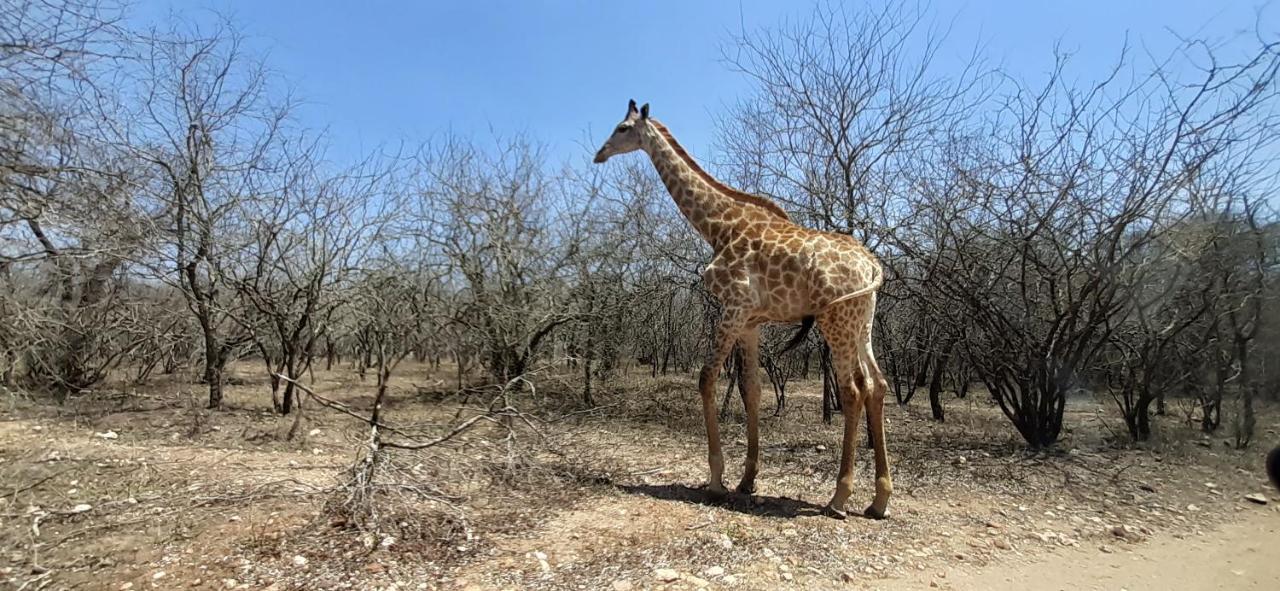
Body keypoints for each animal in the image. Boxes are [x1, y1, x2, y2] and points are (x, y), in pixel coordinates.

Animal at [596, 100, 890, 516]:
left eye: (622, 128)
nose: (599, 154)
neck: (718, 227)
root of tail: (871, 264)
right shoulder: (751, 321)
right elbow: (751, 389)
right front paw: (747, 479)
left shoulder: (732, 307)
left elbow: (706, 378)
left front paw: (717, 480)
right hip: (862, 322)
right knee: (877, 385)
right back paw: (879, 500)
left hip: (836, 321)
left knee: (851, 390)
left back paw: (839, 497)